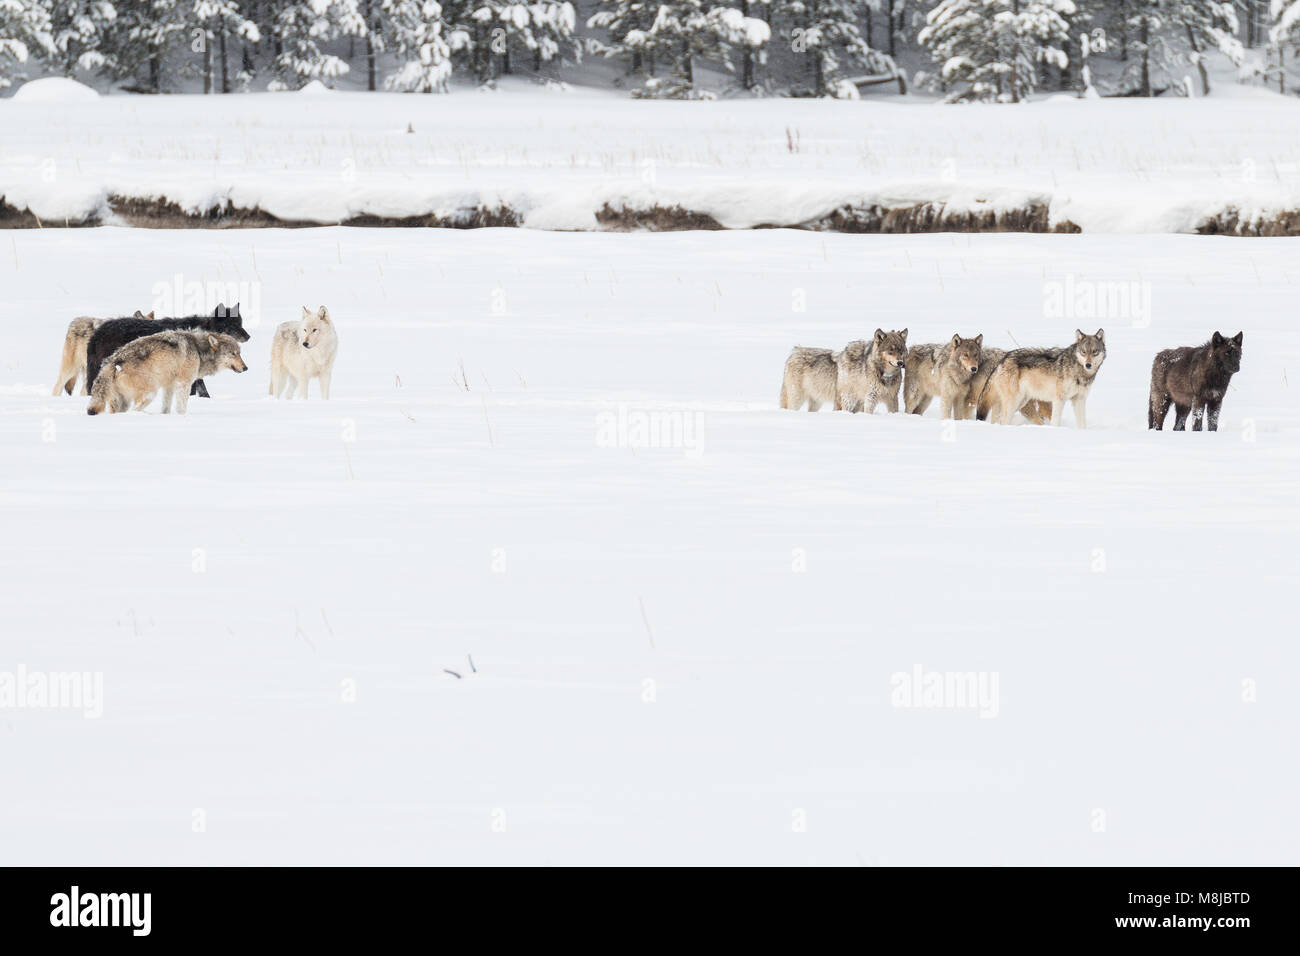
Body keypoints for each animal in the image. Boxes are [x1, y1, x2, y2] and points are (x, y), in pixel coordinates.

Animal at [88, 330, 248, 416]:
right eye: (233, 354)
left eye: (239, 353)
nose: (246, 368)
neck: (198, 350)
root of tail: (112, 361)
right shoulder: (184, 383)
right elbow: (181, 407)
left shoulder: (169, 386)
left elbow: (166, 407)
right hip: (149, 393)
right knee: (134, 410)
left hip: (123, 402)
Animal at [977, 332, 1107, 429]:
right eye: (1083, 352)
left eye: (1095, 352)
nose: (1088, 365)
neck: (1078, 371)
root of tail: (1001, 361)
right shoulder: (1059, 399)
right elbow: (1056, 421)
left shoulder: (1079, 400)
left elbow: (1082, 424)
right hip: (1014, 402)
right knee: (1003, 421)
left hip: (1021, 402)